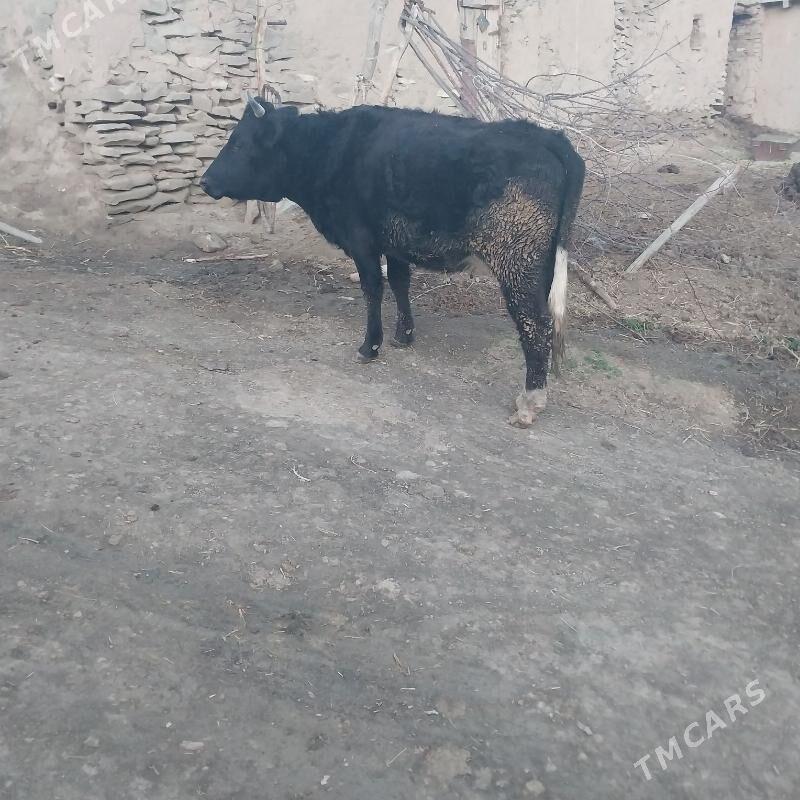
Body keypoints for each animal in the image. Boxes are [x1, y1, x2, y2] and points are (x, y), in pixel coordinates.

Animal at [200, 96, 585, 427]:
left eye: (239, 144)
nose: (204, 181)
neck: (328, 148)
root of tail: (549, 137)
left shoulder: (362, 240)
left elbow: (373, 289)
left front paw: (370, 346)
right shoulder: (396, 245)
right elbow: (400, 283)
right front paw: (404, 335)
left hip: (517, 261)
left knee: (536, 324)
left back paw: (530, 402)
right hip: (542, 266)